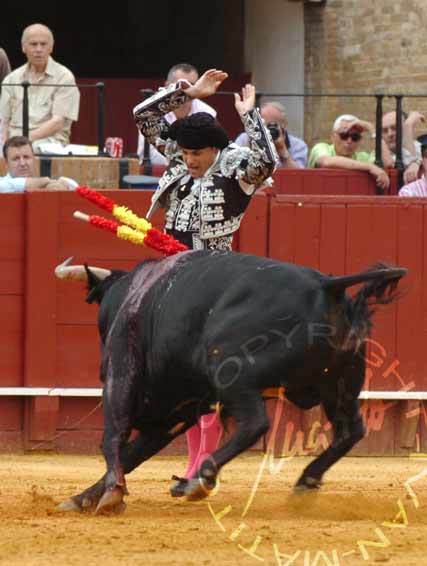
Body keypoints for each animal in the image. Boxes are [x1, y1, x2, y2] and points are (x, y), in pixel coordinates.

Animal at [57, 253, 408, 516]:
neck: (133, 296)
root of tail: (326, 286)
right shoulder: (178, 409)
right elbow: (134, 452)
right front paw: (83, 497)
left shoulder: (122, 377)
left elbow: (113, 439)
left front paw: (110, 495)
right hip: (340, 385)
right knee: (350, 430)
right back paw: (306, 481)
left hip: (232, 374)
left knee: (255, 423)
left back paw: (198, 481)